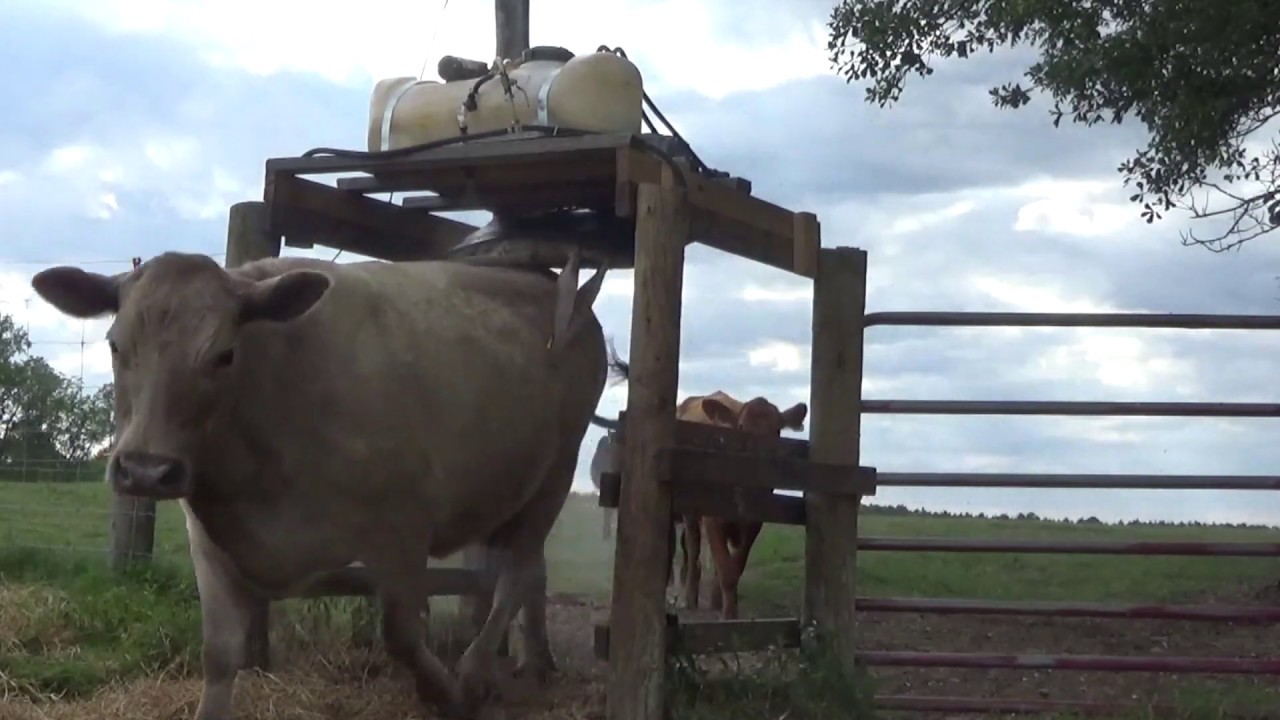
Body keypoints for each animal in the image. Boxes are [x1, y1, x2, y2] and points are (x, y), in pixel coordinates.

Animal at [30, 251, 610, 720]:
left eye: (224, 354)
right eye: (114, 345)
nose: (146, 470)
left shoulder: (403, 525)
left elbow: (402, 633)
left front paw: (445, 695)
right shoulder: (209, 540)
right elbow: (218, 655)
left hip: (557, 469)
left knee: (517, 573)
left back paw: (472, 673)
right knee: (528, 573)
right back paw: (536, 663)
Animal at [590, 356, 806, 621]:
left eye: (777, 430)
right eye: (741, 427)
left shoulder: (755, 520)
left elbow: (735, 565)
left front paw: (723, 602)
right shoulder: (711, 517)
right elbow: (724, 568)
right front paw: (728, 614)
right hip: (690, 514)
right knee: (691, 550)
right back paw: (688, 596)